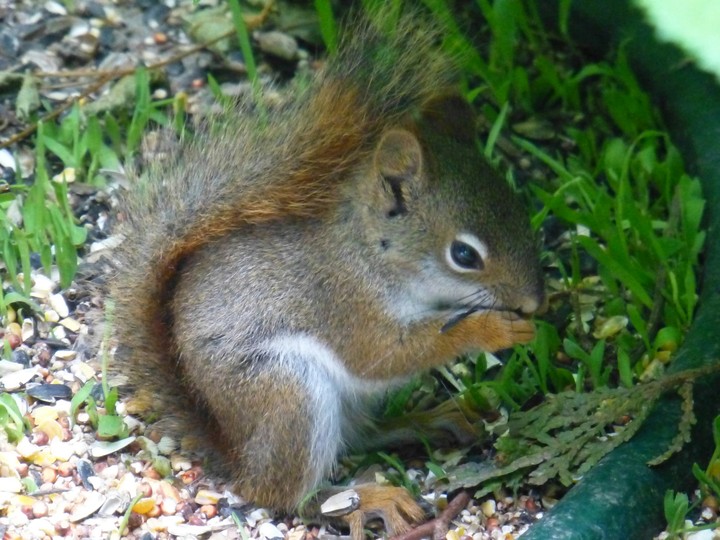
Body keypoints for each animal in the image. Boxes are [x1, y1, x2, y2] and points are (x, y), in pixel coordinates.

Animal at [110, 8, 544, 539]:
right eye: (464, 254)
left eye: (521, 210)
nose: (535, 301)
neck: (369, 253)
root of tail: (235, 453)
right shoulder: (345, 302)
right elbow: (384, 354)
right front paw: (495, 329)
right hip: (288, 393)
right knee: (284, 495)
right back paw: (364, 499)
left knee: (360, 436)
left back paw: (432, 420)